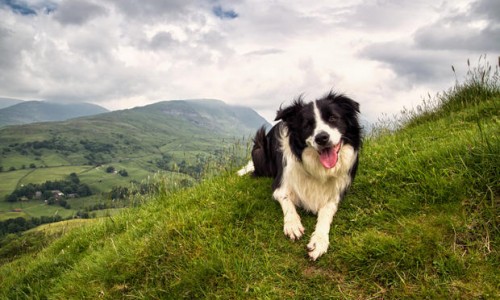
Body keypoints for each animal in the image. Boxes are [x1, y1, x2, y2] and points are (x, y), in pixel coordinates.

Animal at [238, 91, 360, 260]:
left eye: (333, 118)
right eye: (308, 125)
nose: (321, 138)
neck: (318, 168)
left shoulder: (337, 192)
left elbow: (326, 212)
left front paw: (319, 240)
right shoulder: (280, 185)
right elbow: (287, 201)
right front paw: (292, 224)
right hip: (259, 147)